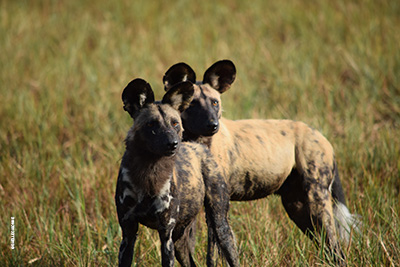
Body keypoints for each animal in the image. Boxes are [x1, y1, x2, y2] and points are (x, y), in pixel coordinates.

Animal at [114, 78, 239, 266]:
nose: (173, 143)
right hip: (180, 241)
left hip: (219, 225)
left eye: (175, 123)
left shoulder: (166, 235)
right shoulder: (128, 235)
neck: (149, 173)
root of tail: (198, 146)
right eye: (151, 124)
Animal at [161, 59, 360, 266]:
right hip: (297, 207)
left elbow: (216, 249)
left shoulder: (216, 207)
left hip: (317, 200)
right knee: (328, 248)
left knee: (336, 249)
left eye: (215, 103)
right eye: (192, 104)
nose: (213, 124)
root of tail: (321, 137)